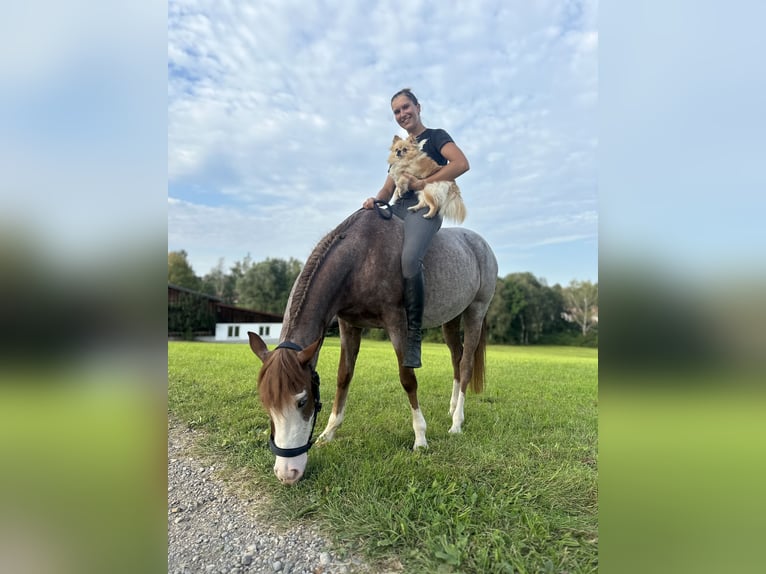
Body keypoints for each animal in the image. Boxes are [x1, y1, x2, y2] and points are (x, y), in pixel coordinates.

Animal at [249, 208, 500, 486]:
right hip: (451, 319)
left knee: (465, 364)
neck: (360, 256)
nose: (287, 473)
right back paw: (453, 407)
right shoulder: (349, 324)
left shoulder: (396, 321)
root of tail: (480, 244)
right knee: (457, 359)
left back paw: (457, 422)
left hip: (475, 310)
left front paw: (420, 438)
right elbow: (344, 377)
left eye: (302, 401)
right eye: (265, 402)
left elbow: (407, 379)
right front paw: (329, 432)